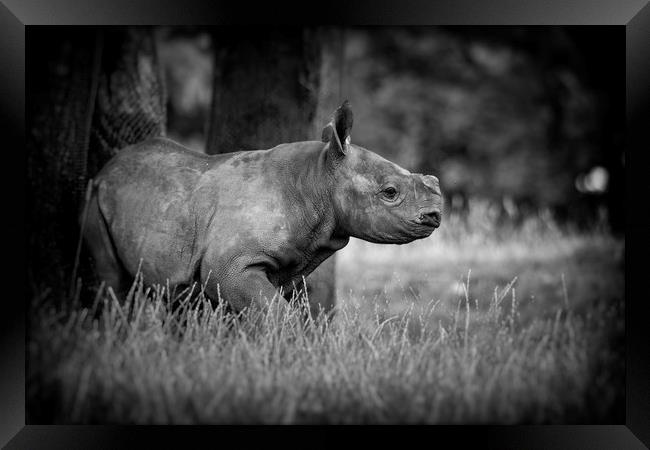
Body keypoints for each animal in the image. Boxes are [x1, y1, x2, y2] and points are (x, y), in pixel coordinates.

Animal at [82, 100, 440, 314]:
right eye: (390, 192)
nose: (435, 216)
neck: (317, 179)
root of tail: (106, 170)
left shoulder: (286, 265)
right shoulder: (229, 266)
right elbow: (275, 312)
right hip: (95, 195)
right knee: (111, 276)